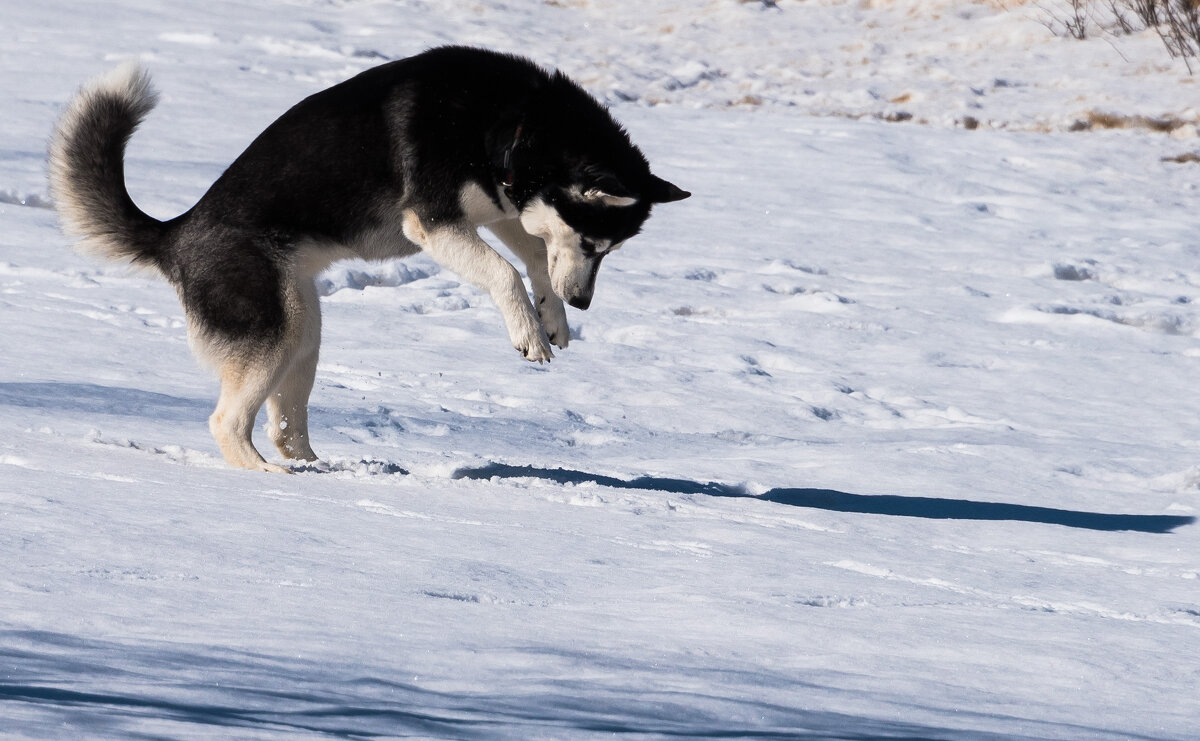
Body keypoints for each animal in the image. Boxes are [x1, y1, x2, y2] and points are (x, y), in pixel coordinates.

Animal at [46, 46, 691, 470]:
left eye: (610, 251)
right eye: (593, 245)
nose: (584, 303)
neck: (510, 126)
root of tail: (176, 233)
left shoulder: (500, 210)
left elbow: (534, 256)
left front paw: (552, 315)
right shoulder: (432, 220)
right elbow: (504, 271)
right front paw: (529, 332)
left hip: (302, 330)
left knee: (284, 423)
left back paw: (320, 470)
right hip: (270, 331)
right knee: (226, 422)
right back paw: (266, 477)